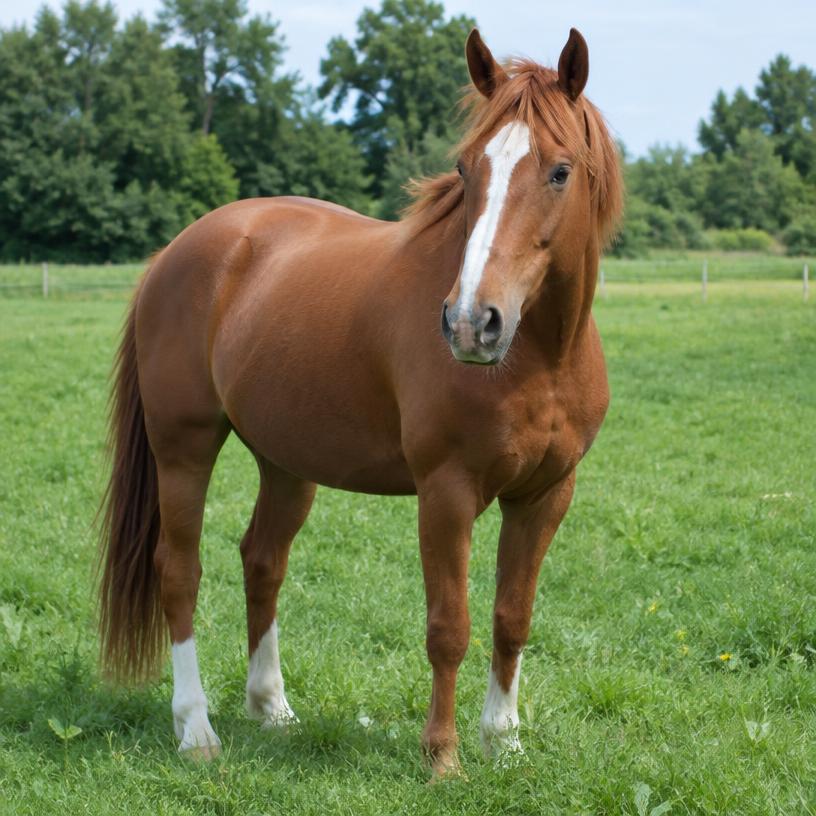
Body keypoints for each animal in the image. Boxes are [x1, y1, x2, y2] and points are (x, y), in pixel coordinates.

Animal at [98, 27, 622, 779]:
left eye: (559, 171)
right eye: (466, 170)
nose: (472, 323)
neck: (539, 356)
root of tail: (177, 251)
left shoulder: (546, 495)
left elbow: (512, 617)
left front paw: (504, 741)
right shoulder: (447, 493)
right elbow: (449, 625)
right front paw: (442, 757)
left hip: (286, 462)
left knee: (262, 560)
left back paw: (272, 709)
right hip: (184, 448)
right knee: (180, 572)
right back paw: (196, 730)